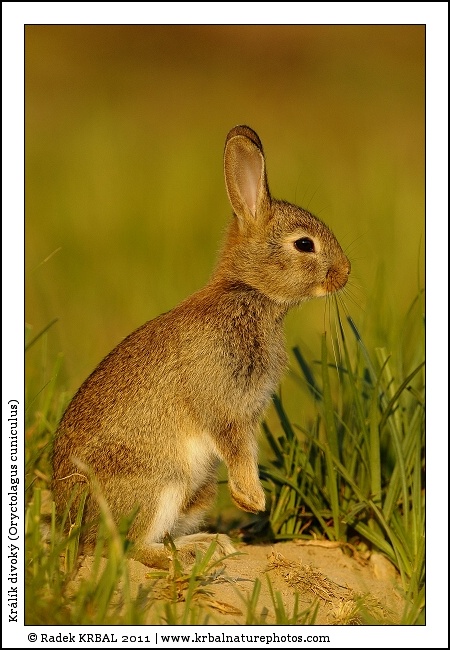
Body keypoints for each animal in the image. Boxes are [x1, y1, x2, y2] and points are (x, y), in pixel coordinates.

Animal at [52, 125, 351, 569]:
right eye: (303, 245)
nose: (345, 273)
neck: (249, 292)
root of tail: (70, 525)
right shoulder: (223, 403)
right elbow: (234, 445)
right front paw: (254, 500)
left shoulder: (247, 412)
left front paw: (248, 502)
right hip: (162, 482)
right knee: (129, 546)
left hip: (198, 490)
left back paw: (213, 544)